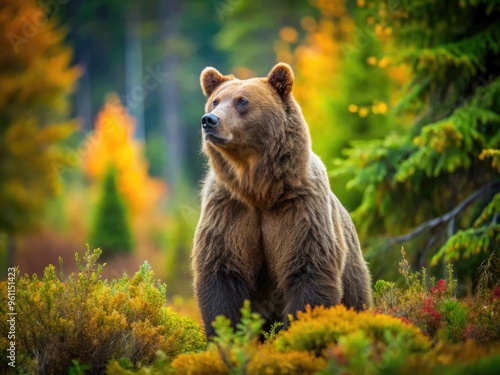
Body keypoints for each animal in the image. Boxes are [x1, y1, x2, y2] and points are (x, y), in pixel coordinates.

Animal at [191, 62, 372, 338]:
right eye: (215, 101)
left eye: (242, 101)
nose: (209, 120)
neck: (259, 189)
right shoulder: (229, 208)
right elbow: (222, 271)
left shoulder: (301, 209)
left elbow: (308, 269)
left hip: (355, 280)